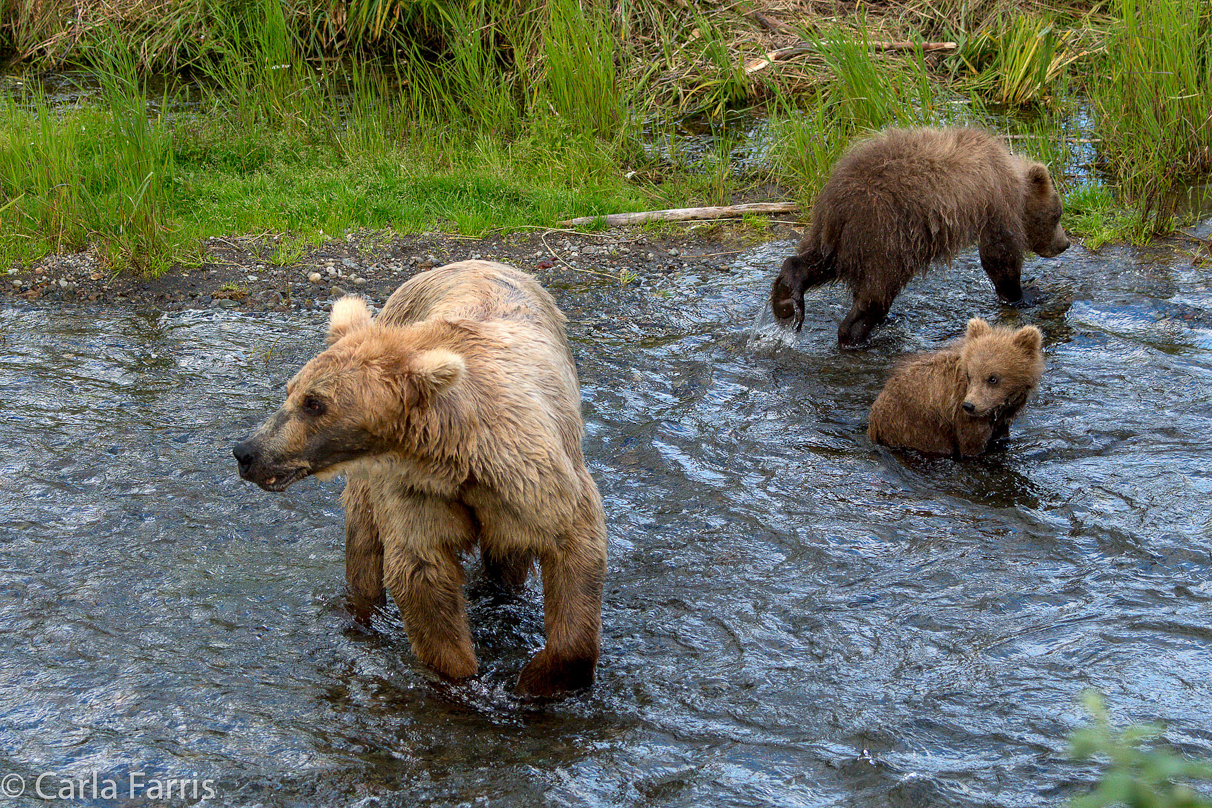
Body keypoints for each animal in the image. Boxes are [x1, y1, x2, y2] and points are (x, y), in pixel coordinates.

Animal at [232, 262, 610, 697]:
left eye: (314, 403)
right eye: (290, 391)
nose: (246, 452)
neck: (456, 455)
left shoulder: (529, 482)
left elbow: (573, 543)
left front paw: (537, 679)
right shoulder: (415, 489)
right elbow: (422, 572)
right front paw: (460, 675)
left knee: (507, 556)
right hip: (370, 487)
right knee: (364, 543)